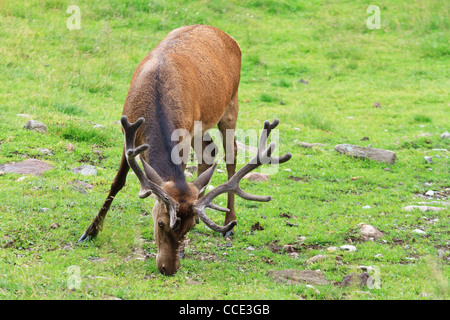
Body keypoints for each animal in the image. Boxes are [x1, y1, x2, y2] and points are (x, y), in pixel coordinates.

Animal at [77, 24, 292, 276]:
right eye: (161, 223)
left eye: (187, 228)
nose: (168, 269)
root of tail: (223, 33)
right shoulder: (127, 132)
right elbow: (117, 182)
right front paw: (90, 232)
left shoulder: (185, 134)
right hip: (203, 124)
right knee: (210, 152)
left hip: (231, 103)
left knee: (231, 155)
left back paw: (229, 222)